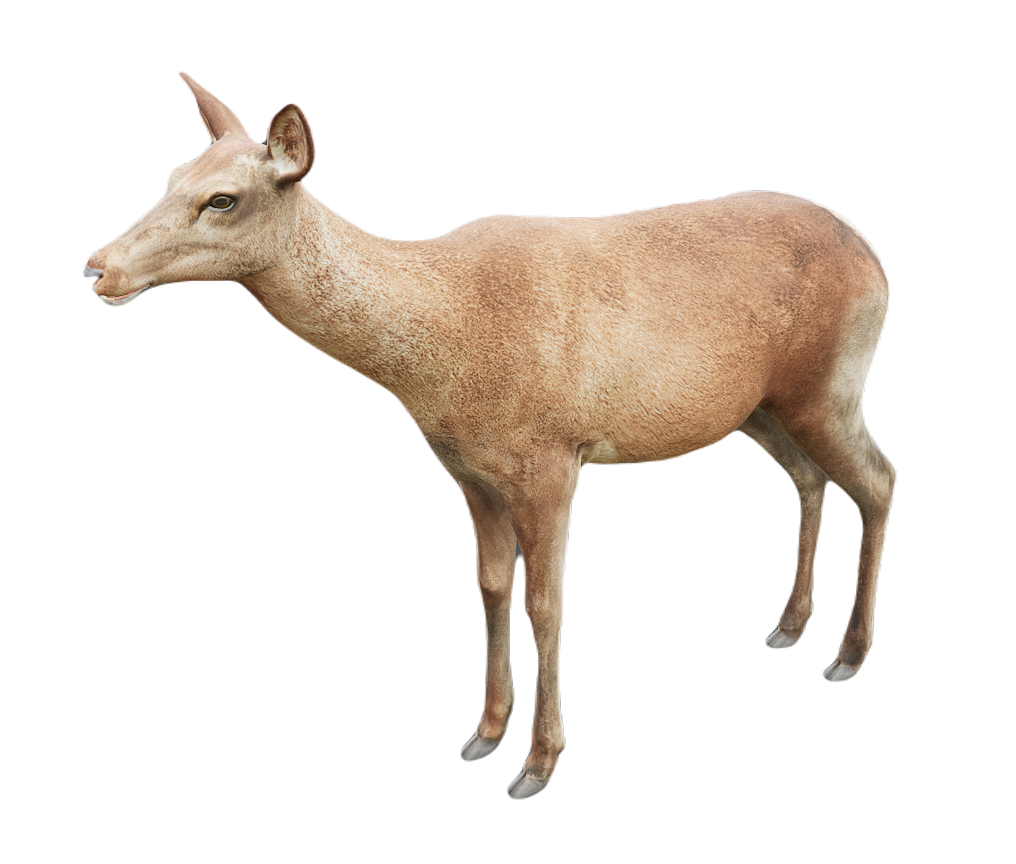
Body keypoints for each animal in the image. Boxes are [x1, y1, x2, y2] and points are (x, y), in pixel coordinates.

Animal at [84, 72, 896, 800]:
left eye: (222, 197)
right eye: (172, 175)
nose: (98, 268)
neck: (442, 353)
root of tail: (876, 260)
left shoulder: (554, 459)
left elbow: (548, 603)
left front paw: (538, 764)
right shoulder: (469, 470)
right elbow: (491, 585)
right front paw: (484, 734)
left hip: (831, 385)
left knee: (879, 478)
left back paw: (849, 654)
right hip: (763, 407)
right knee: (810, 477)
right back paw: (789, 627)